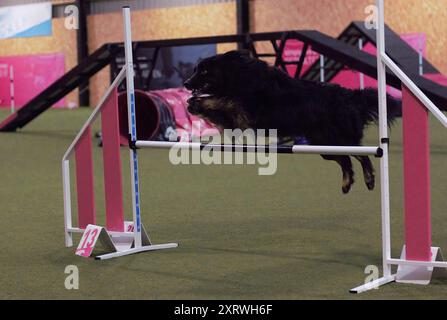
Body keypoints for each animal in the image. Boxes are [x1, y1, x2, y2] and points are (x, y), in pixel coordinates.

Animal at [184, 51, 400, 194]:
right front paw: (194, 104)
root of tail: (351, 96)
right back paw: (346, 183)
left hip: (340, 139)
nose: (186, 83)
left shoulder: (247, 112)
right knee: (346, 160)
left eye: (204, 71)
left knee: (363, 155)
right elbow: (220, 106)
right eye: (195, 70)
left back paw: (370, 178)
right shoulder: (238, 120)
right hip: (323, 145)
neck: (238, 75)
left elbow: (224, 100)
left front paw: (197, 101)